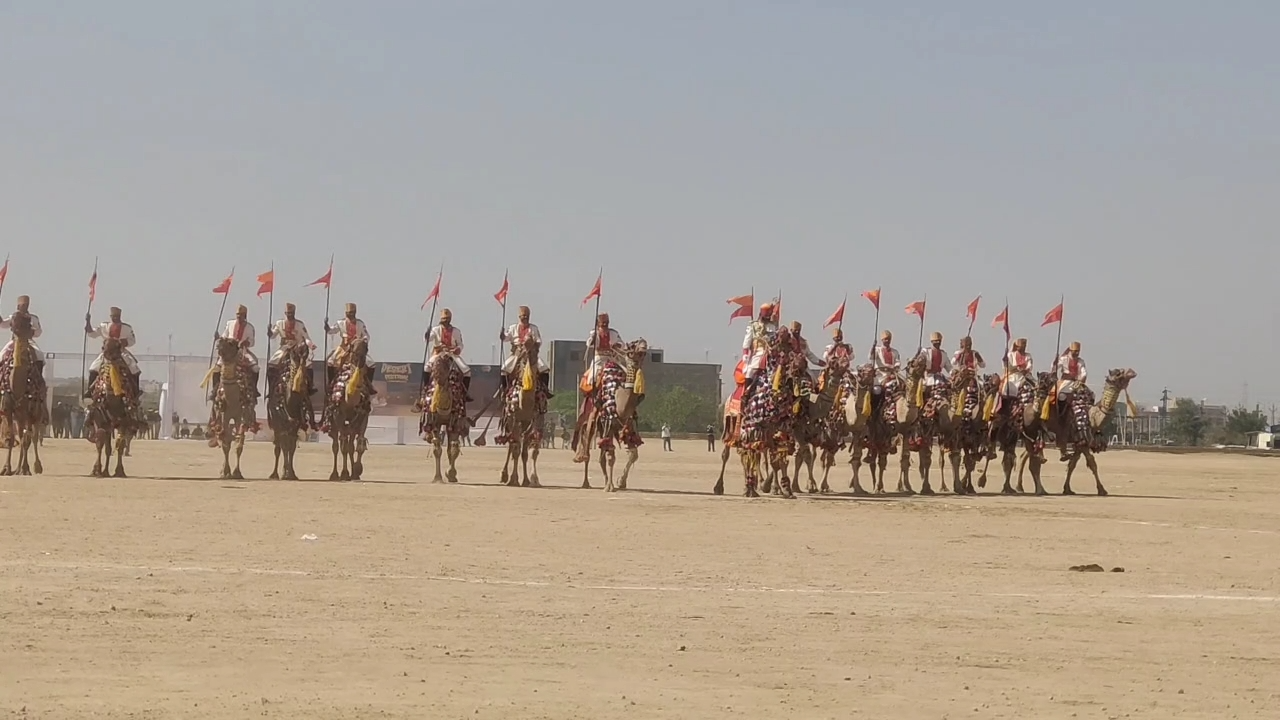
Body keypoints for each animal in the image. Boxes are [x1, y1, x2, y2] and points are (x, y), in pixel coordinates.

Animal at [0, 325, 47, 476]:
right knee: (22, 435)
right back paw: (17, 469)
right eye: (13, 324)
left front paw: (26, 468)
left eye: (30, 326)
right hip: (19, 415)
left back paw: (35, 466)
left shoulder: (30, 411)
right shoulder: (8, 411)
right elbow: (11, 438)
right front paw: (6, 469)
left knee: (33, 436)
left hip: (36, 412)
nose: (24, 333)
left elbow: (28, 439)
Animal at [264, 345, 312, 479]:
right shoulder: (280, 425)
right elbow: (284, 447)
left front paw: (291, 473)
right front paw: (284, 473)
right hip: (277, 425)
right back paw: (274, 473)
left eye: (306, 355)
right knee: (278, 446)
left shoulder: (295, 425)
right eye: (294, 355)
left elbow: (291, 447)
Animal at [325, 338, 371, 481]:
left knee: (350, 445)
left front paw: (357, 470)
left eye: (366, 347)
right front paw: (345, 473)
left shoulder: (363, 416)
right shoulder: (338, 416)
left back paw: (353, 474)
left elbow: (359, 445)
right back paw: (335, 474)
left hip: (351, 426)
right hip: (334, 423)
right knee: (336, 445)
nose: (360, 360)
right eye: (352, 346)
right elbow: (343, 447)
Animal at [573, 335, 650, 486]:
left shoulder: (626, 426)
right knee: (588, 451)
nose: (644, 344)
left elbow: (633, 454)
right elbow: (610, 456)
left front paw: (620, 482)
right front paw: (611, 485)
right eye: (632, 345)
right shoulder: (607, 423)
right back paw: (586, 482)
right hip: (590, 423)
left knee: (602, 456)